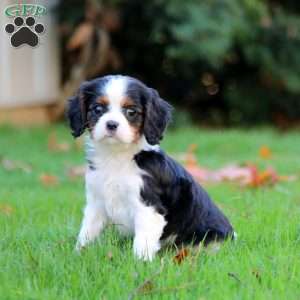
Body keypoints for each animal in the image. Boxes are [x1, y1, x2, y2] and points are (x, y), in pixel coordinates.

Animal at [67, 75, 234, 260]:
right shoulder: (96, 203)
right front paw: (78, 253)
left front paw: (140, 262)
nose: (111, 124)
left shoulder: (148, 206)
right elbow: (87, 231)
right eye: (97, 109)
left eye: (131, 112)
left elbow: (143, 241)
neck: (117, 156)